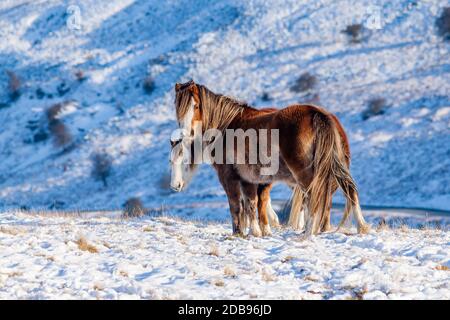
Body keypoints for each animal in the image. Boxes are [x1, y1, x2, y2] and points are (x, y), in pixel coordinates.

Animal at [169, 79, 370, 238]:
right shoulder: (249, 179)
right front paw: (257, 232)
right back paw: (360, 227)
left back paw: (308, 231)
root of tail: (318, 114)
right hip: (334, 166)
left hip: (305, 173)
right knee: (348, 190)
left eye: (195, 106)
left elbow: (236, 206)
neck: (226, 126)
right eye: (178, 108)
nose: (182, 135)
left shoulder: (229, 178)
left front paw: (238, 233)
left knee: (315, 196)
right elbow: (252, 203)